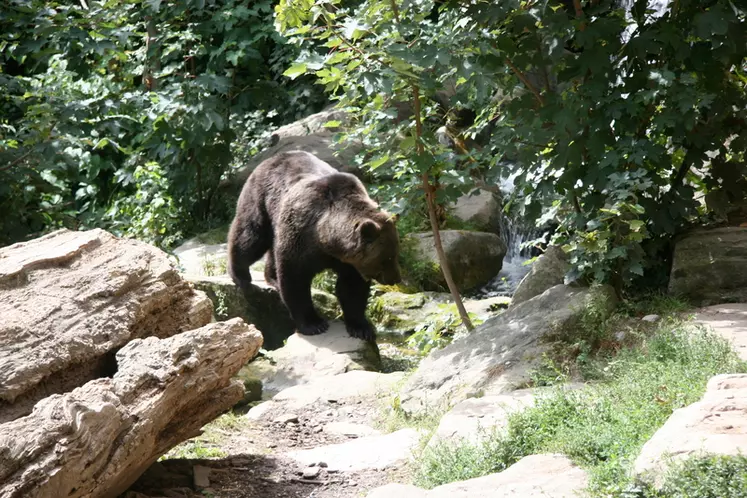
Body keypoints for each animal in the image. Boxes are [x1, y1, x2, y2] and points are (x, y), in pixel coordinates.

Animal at [228, 150, 404, 340]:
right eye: (386, 258)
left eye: (395, 254)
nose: (396, 278)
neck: (327, 240)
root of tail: (273, 157)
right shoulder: (301, 235)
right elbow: (295, 279)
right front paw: (314, 324)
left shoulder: (349, 261)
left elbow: (352, 288)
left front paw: (361, 327)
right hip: (261, 199)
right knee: (250, 235)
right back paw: (240, 275)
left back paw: (272, 278)